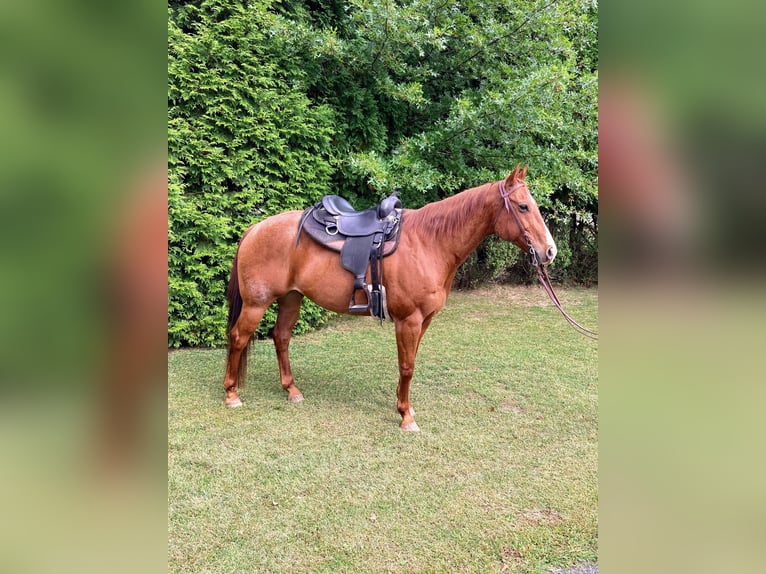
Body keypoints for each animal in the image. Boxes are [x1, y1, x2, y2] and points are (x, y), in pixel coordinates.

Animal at [223, 164, 556, 431]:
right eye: (523, 207)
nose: (549, 251)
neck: (429, 242)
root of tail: (255, 228)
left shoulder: (423, 321)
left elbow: (410, 362)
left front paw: (403, 405)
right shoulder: (408, 320)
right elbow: (407, 366)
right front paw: (405, 416)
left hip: (292, 298)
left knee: (281, 337)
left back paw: (292, 390)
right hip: (256, 304)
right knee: (238, 337)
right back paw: (231, 394)